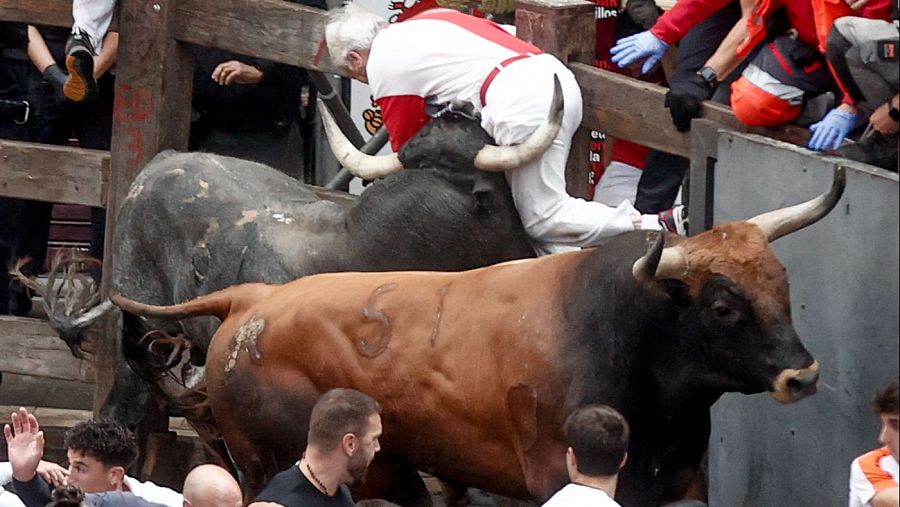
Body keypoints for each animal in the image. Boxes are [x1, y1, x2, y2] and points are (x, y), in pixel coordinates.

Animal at [112, 169, 844, 506]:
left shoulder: (683, 484)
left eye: (781, 280)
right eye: (723, 305)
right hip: (268, 461)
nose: (802, 374)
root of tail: (255, 300)